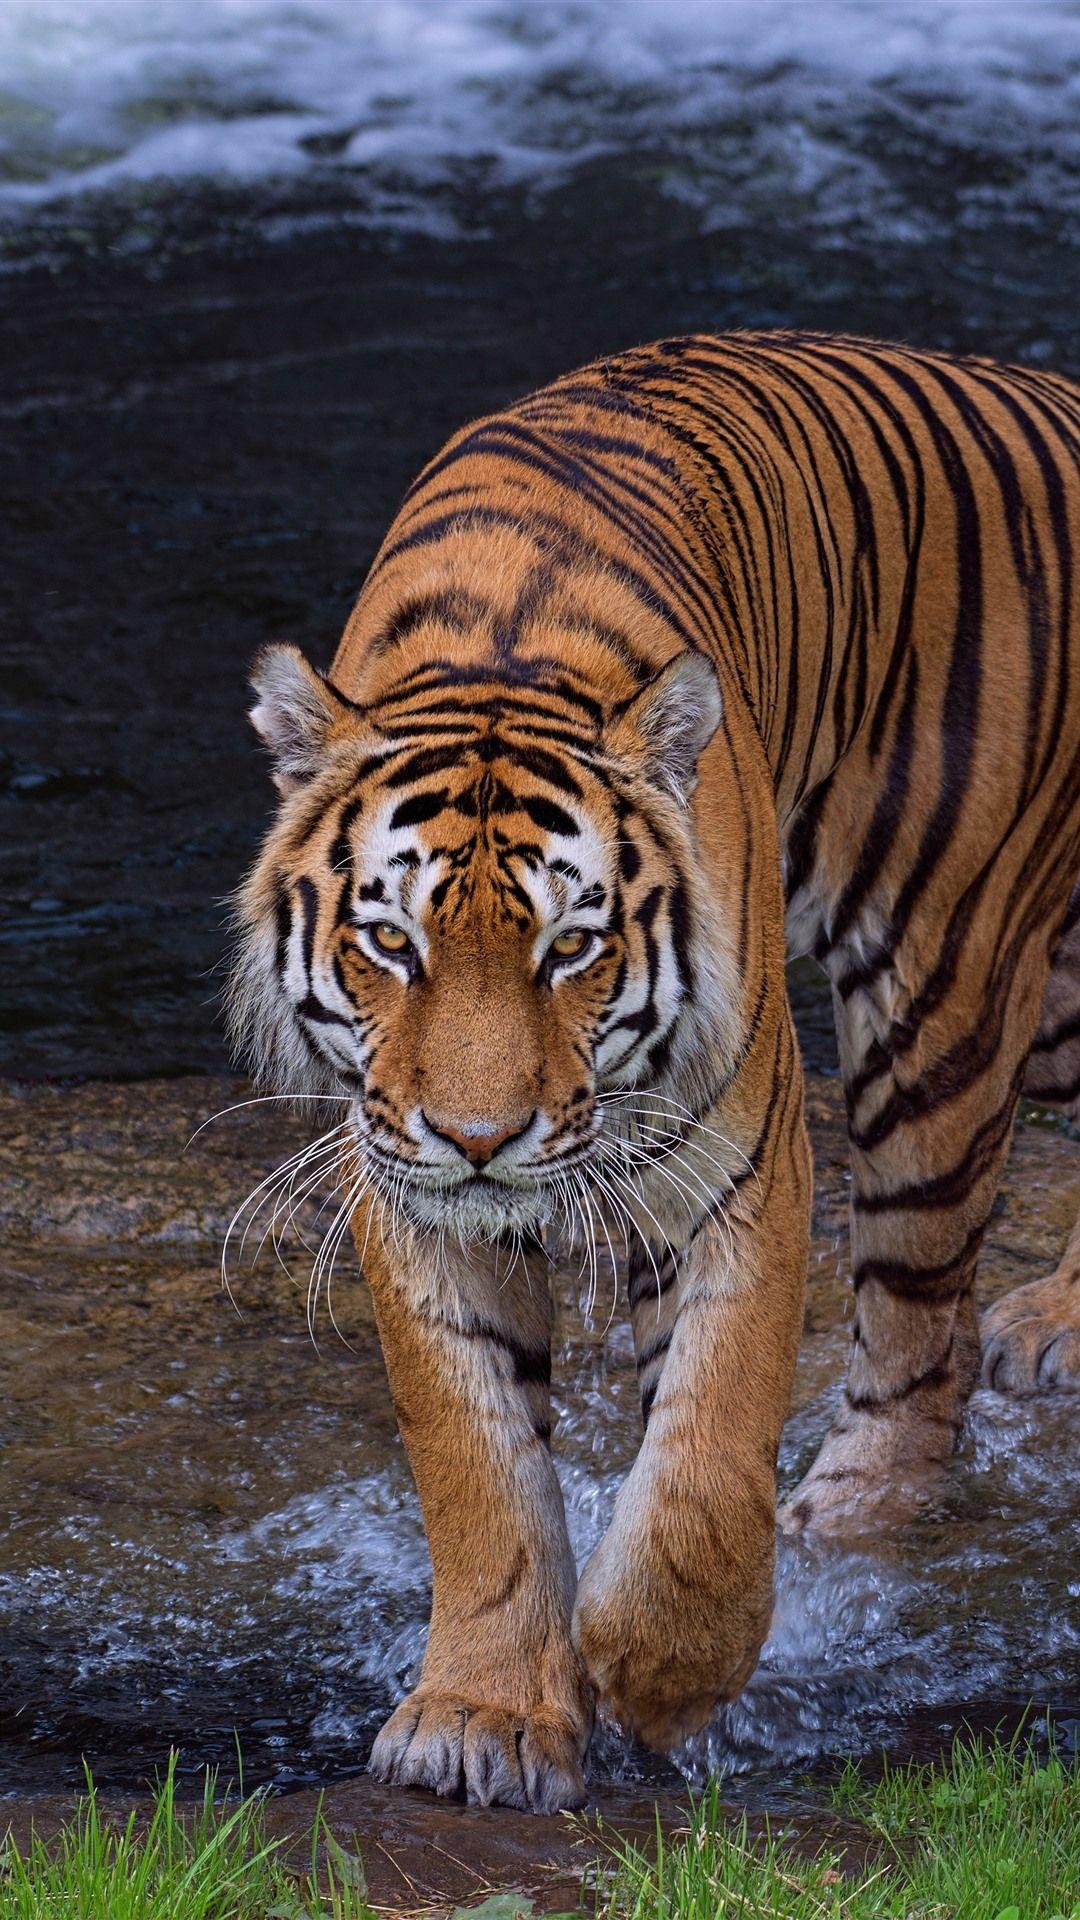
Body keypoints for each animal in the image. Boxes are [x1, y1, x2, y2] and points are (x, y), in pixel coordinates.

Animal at [227, 332, 1080, 1815]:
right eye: (391, 940)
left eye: (573, 944)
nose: (481, 1139)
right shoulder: (409, 1196)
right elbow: (477, 1464)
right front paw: (485, 1718)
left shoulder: (741, 1156)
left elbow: (709, 1445)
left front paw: (659, 1670)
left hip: (945, 985)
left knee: (919, 1347)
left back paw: (839, 1532)